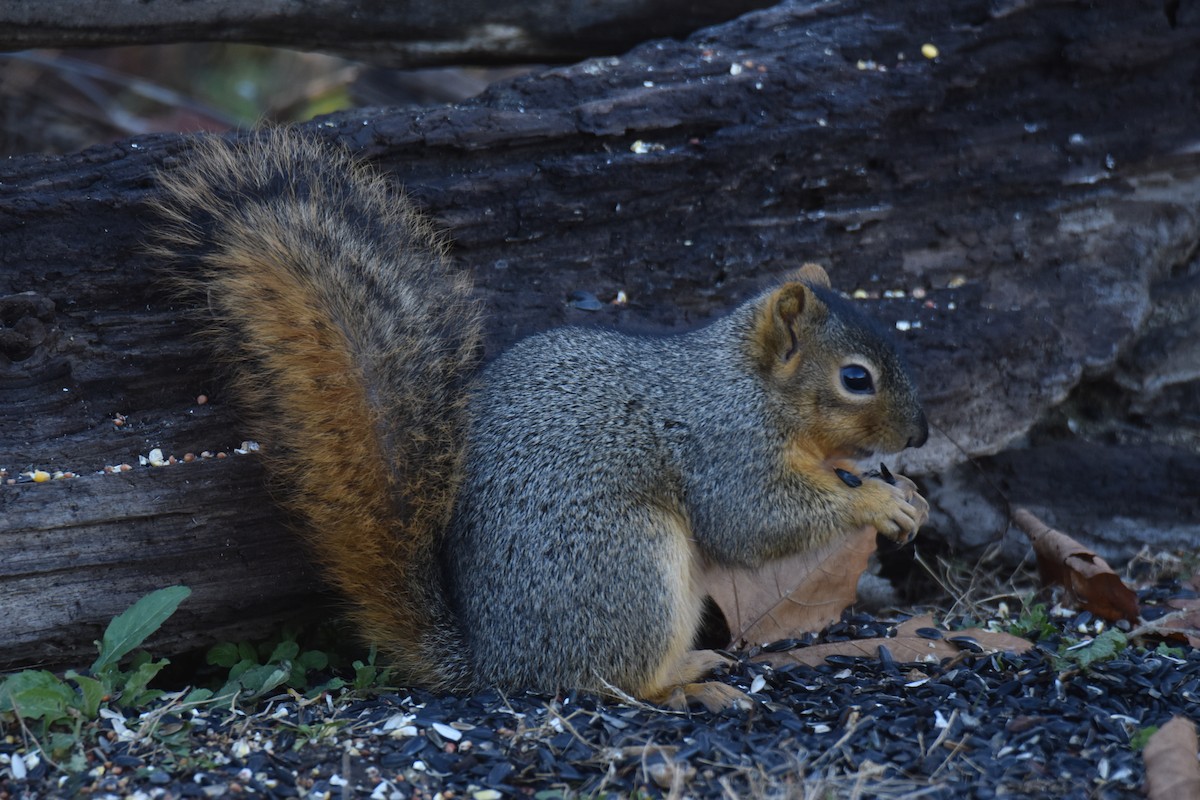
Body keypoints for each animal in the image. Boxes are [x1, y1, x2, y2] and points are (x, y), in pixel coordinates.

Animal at [149, 128, 929, 711]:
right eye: (855, 379)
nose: (919, 436)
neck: (752, 387)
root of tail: (495, 663)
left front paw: (904, 494)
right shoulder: (722, 443)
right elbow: (754, 520)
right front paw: (878, 502)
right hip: (628, 566)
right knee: (607, 679)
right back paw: (684, 683)